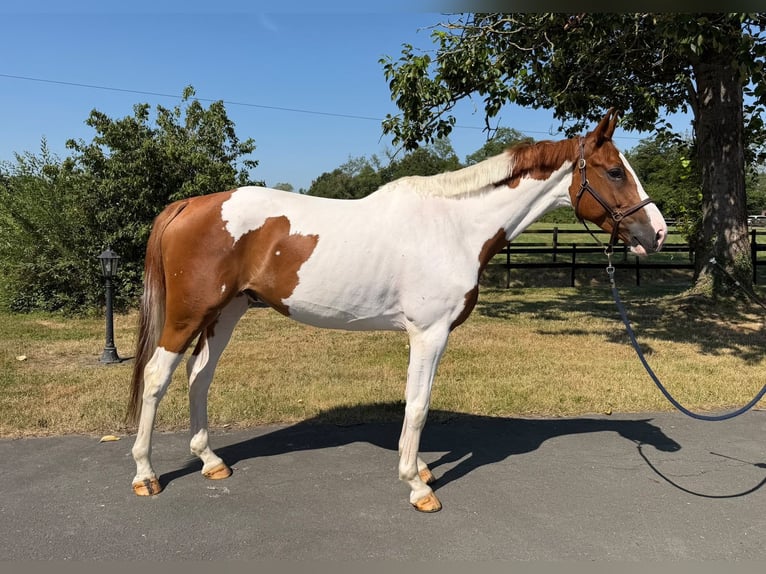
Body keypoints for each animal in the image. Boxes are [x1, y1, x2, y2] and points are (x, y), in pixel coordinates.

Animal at [126, 108, 667, 512]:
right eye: (615, 171)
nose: (657, 233)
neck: (455, 226)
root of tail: (188, 205)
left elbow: (413, 403)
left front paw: (421, 468)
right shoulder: (429, 333)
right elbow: (418, 405)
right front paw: (418, 484)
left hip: (227, 312)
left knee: (199, 376)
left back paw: (210, 461)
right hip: (188, 315)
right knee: (156, 377)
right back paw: (146, 474)